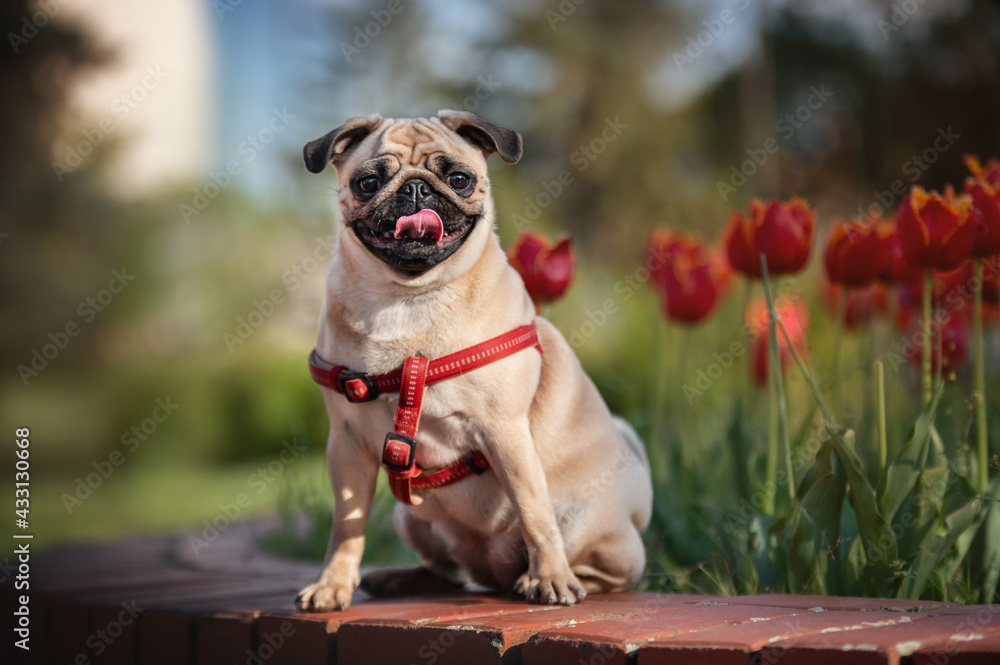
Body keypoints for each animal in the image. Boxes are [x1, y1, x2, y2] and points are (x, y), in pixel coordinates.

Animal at [294, 110, 656, 612]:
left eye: (459, 179)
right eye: (368, 183)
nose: (416, 189)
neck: (407, 297)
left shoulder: (505, 432)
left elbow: (533, 511)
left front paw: (551, 577)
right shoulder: (347, 446)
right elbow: (346, 527)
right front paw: (332, 584)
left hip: (583, 521)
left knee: (596, 566)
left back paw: (545, 577)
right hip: (409, 518)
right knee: (448, 572)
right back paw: (400, 578)